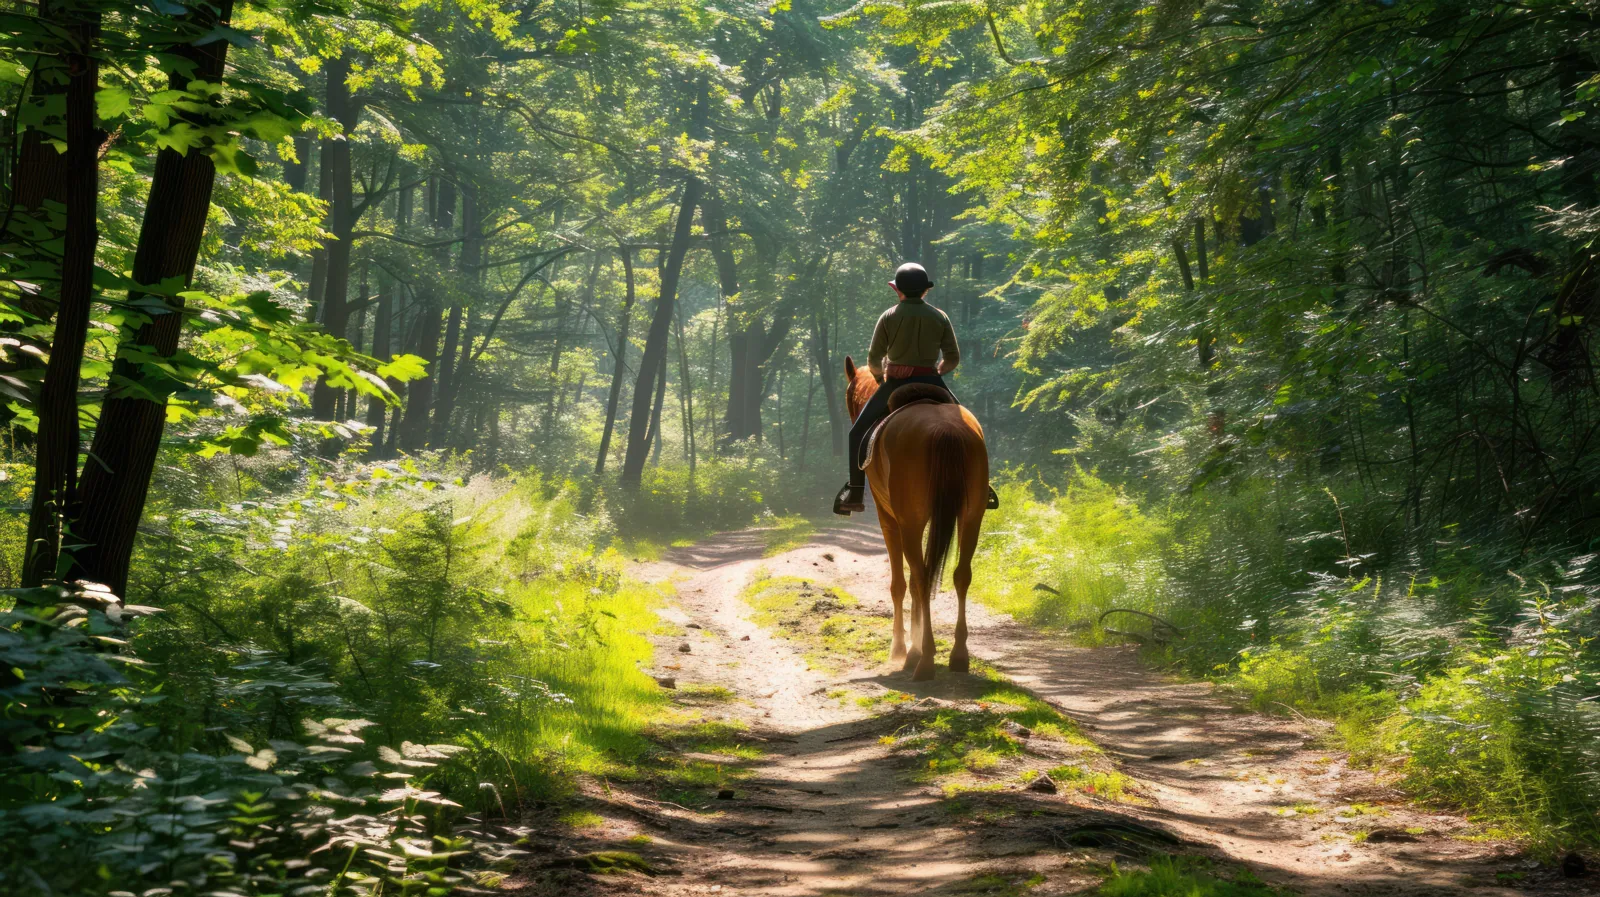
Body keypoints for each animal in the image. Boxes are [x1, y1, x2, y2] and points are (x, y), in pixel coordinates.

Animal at [844, 356, 989, 681]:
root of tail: (946, 430)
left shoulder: (890, 521)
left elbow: (900, 583)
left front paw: (900, 648)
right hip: (971, 517)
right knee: (961, 575)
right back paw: (958, 656)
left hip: (909, 523)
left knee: (921, 578)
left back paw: (922, 660)